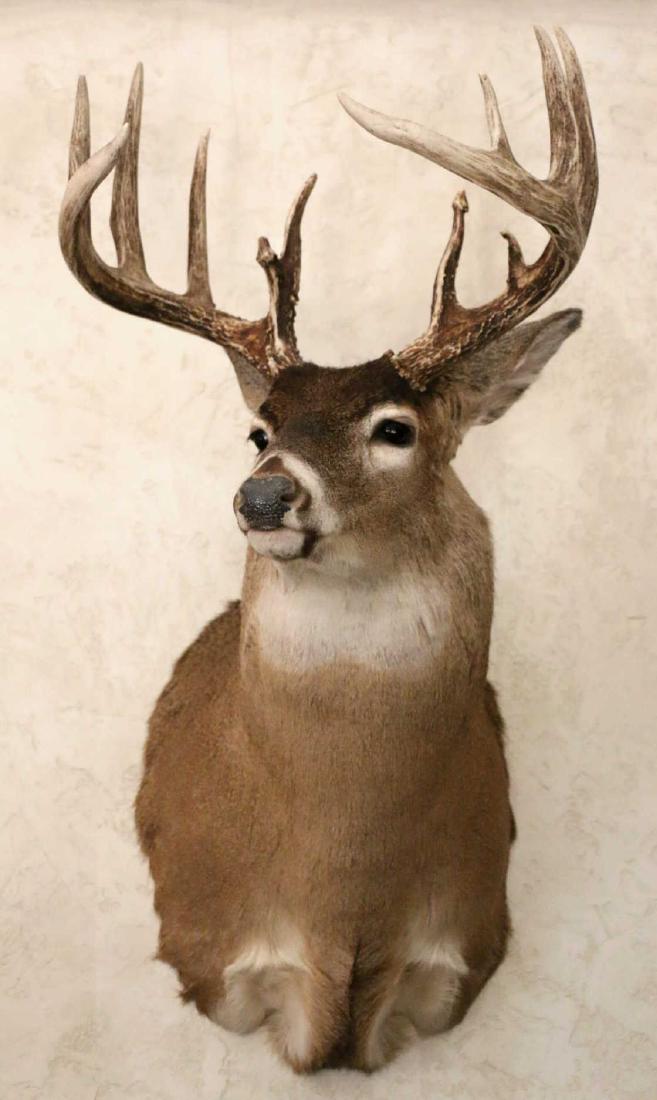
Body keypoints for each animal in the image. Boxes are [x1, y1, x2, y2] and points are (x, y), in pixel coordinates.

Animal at [59, 27, 597, 1073]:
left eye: (395, 429)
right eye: (258, 431)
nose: (263, 495)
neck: (345, 887)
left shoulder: (465, 944)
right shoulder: (203, 942)